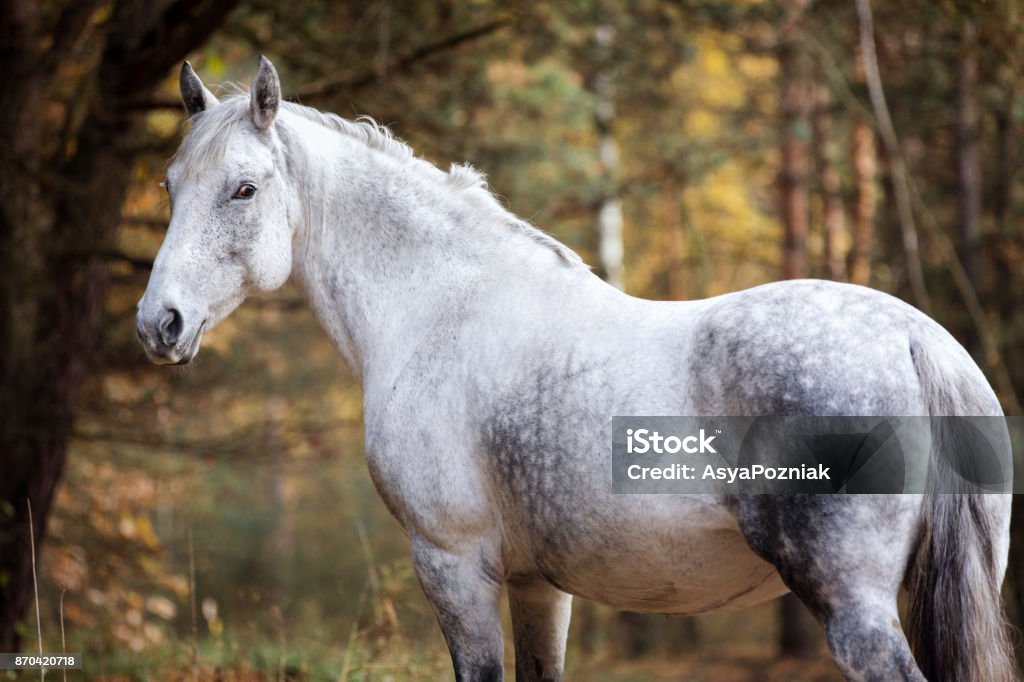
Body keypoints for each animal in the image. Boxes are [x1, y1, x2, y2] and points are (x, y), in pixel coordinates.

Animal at [138, 57, 1015, 679]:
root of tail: (917, 343)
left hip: (854, 606)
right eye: (171, 185)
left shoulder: (453, 567)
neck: (437, 307)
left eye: (244, 189)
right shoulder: (540, 583)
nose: (159, 323)